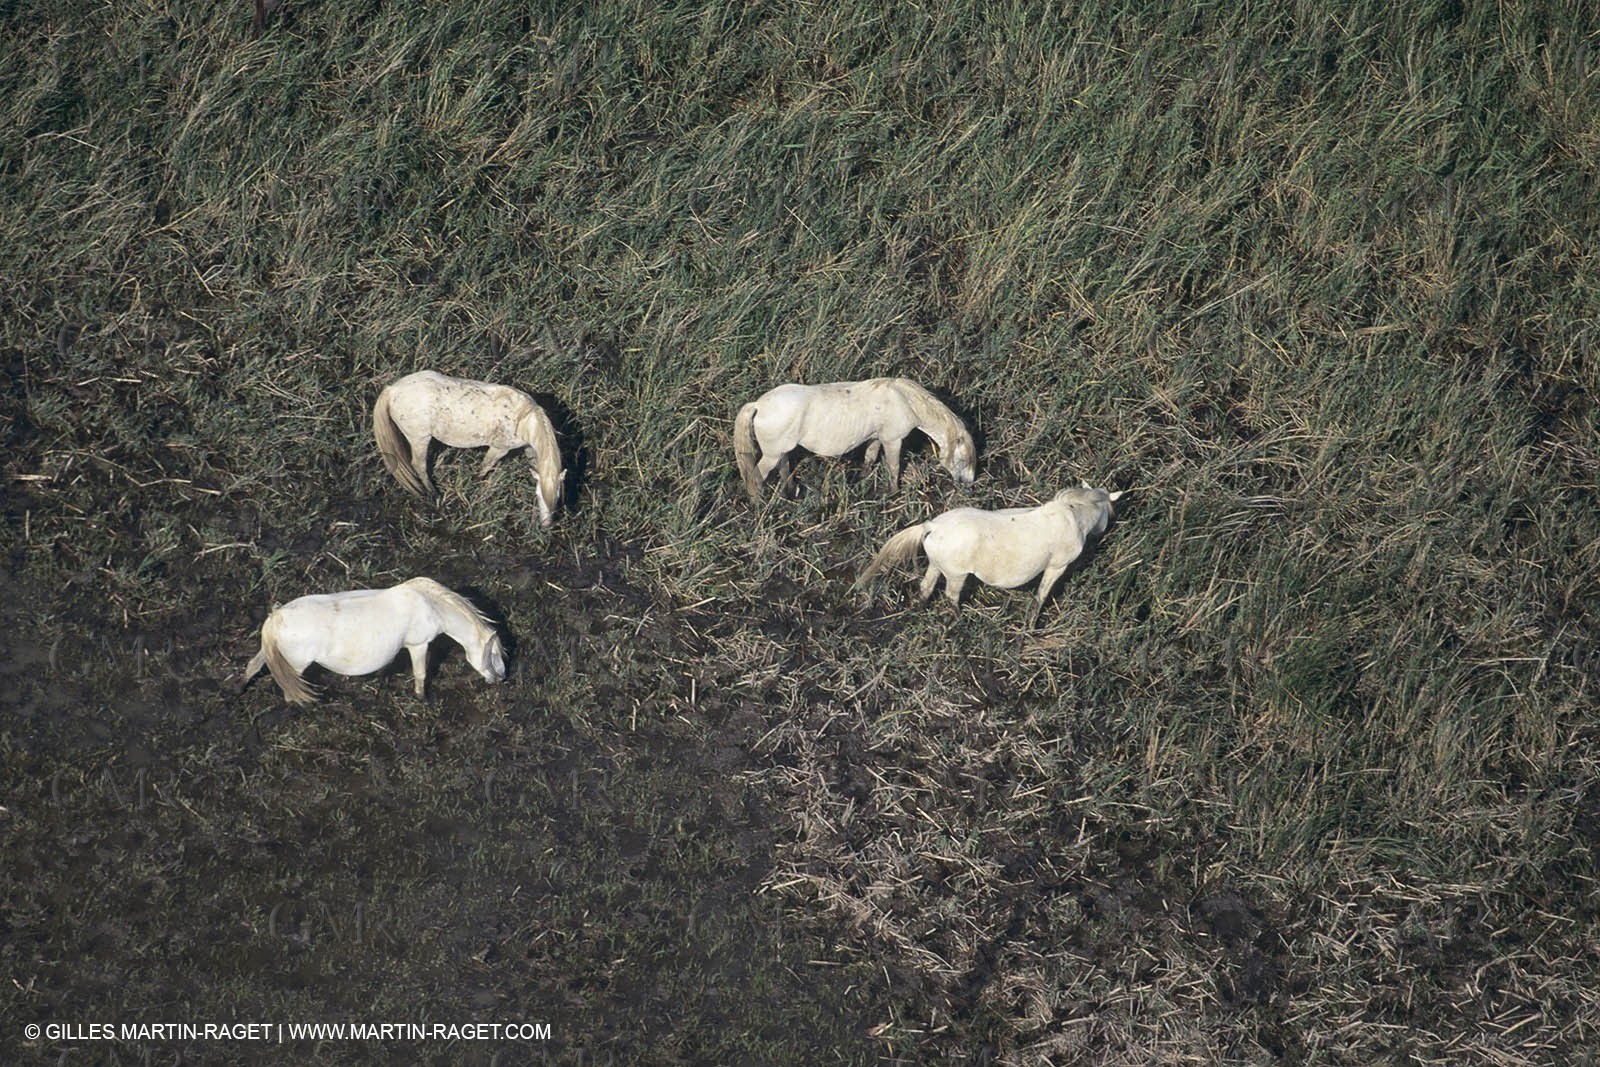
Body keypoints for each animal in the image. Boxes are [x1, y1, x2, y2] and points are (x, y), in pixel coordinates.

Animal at [241, 577, 506, 705]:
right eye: (494, 654)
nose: (501, 679)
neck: (430, 605)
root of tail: (275, 618)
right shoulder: (418, 645)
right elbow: (421, 674)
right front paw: (423, 700)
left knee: (253, 665)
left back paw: (239, 689)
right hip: (296, 665)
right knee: (289, 692)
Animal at [373, 370, 565, 526]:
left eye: (557, 497)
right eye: (539, 495)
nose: (546, 525)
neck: (524, 419)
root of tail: (393, 390)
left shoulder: (529, 448)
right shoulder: (498, 449)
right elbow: (485, 468)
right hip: (419, 438)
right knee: (418, 465)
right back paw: (434, 494)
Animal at [732, 378, 976, 501]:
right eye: (963, 460)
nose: (968, 483)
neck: (905, 400)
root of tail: (758, 405)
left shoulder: (876, 438)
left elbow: (869, 458)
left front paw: (863, 482)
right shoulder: (892, 440)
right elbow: (894, 466)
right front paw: (893, 493)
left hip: (780, 450)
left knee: (783, 468)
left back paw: (791, 493)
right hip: (772, 454)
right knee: (756, 478)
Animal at [856, 483, 1123, 623]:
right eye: (1109, 511)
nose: (1102, 531)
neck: (1073, 517)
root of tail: (933, 526)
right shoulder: (1057, 566)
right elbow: (1042, 595)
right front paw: (1032, 624)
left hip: (936, 567)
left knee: (926, 588)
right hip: (956, 575)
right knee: (951, 596)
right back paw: (958, 620)